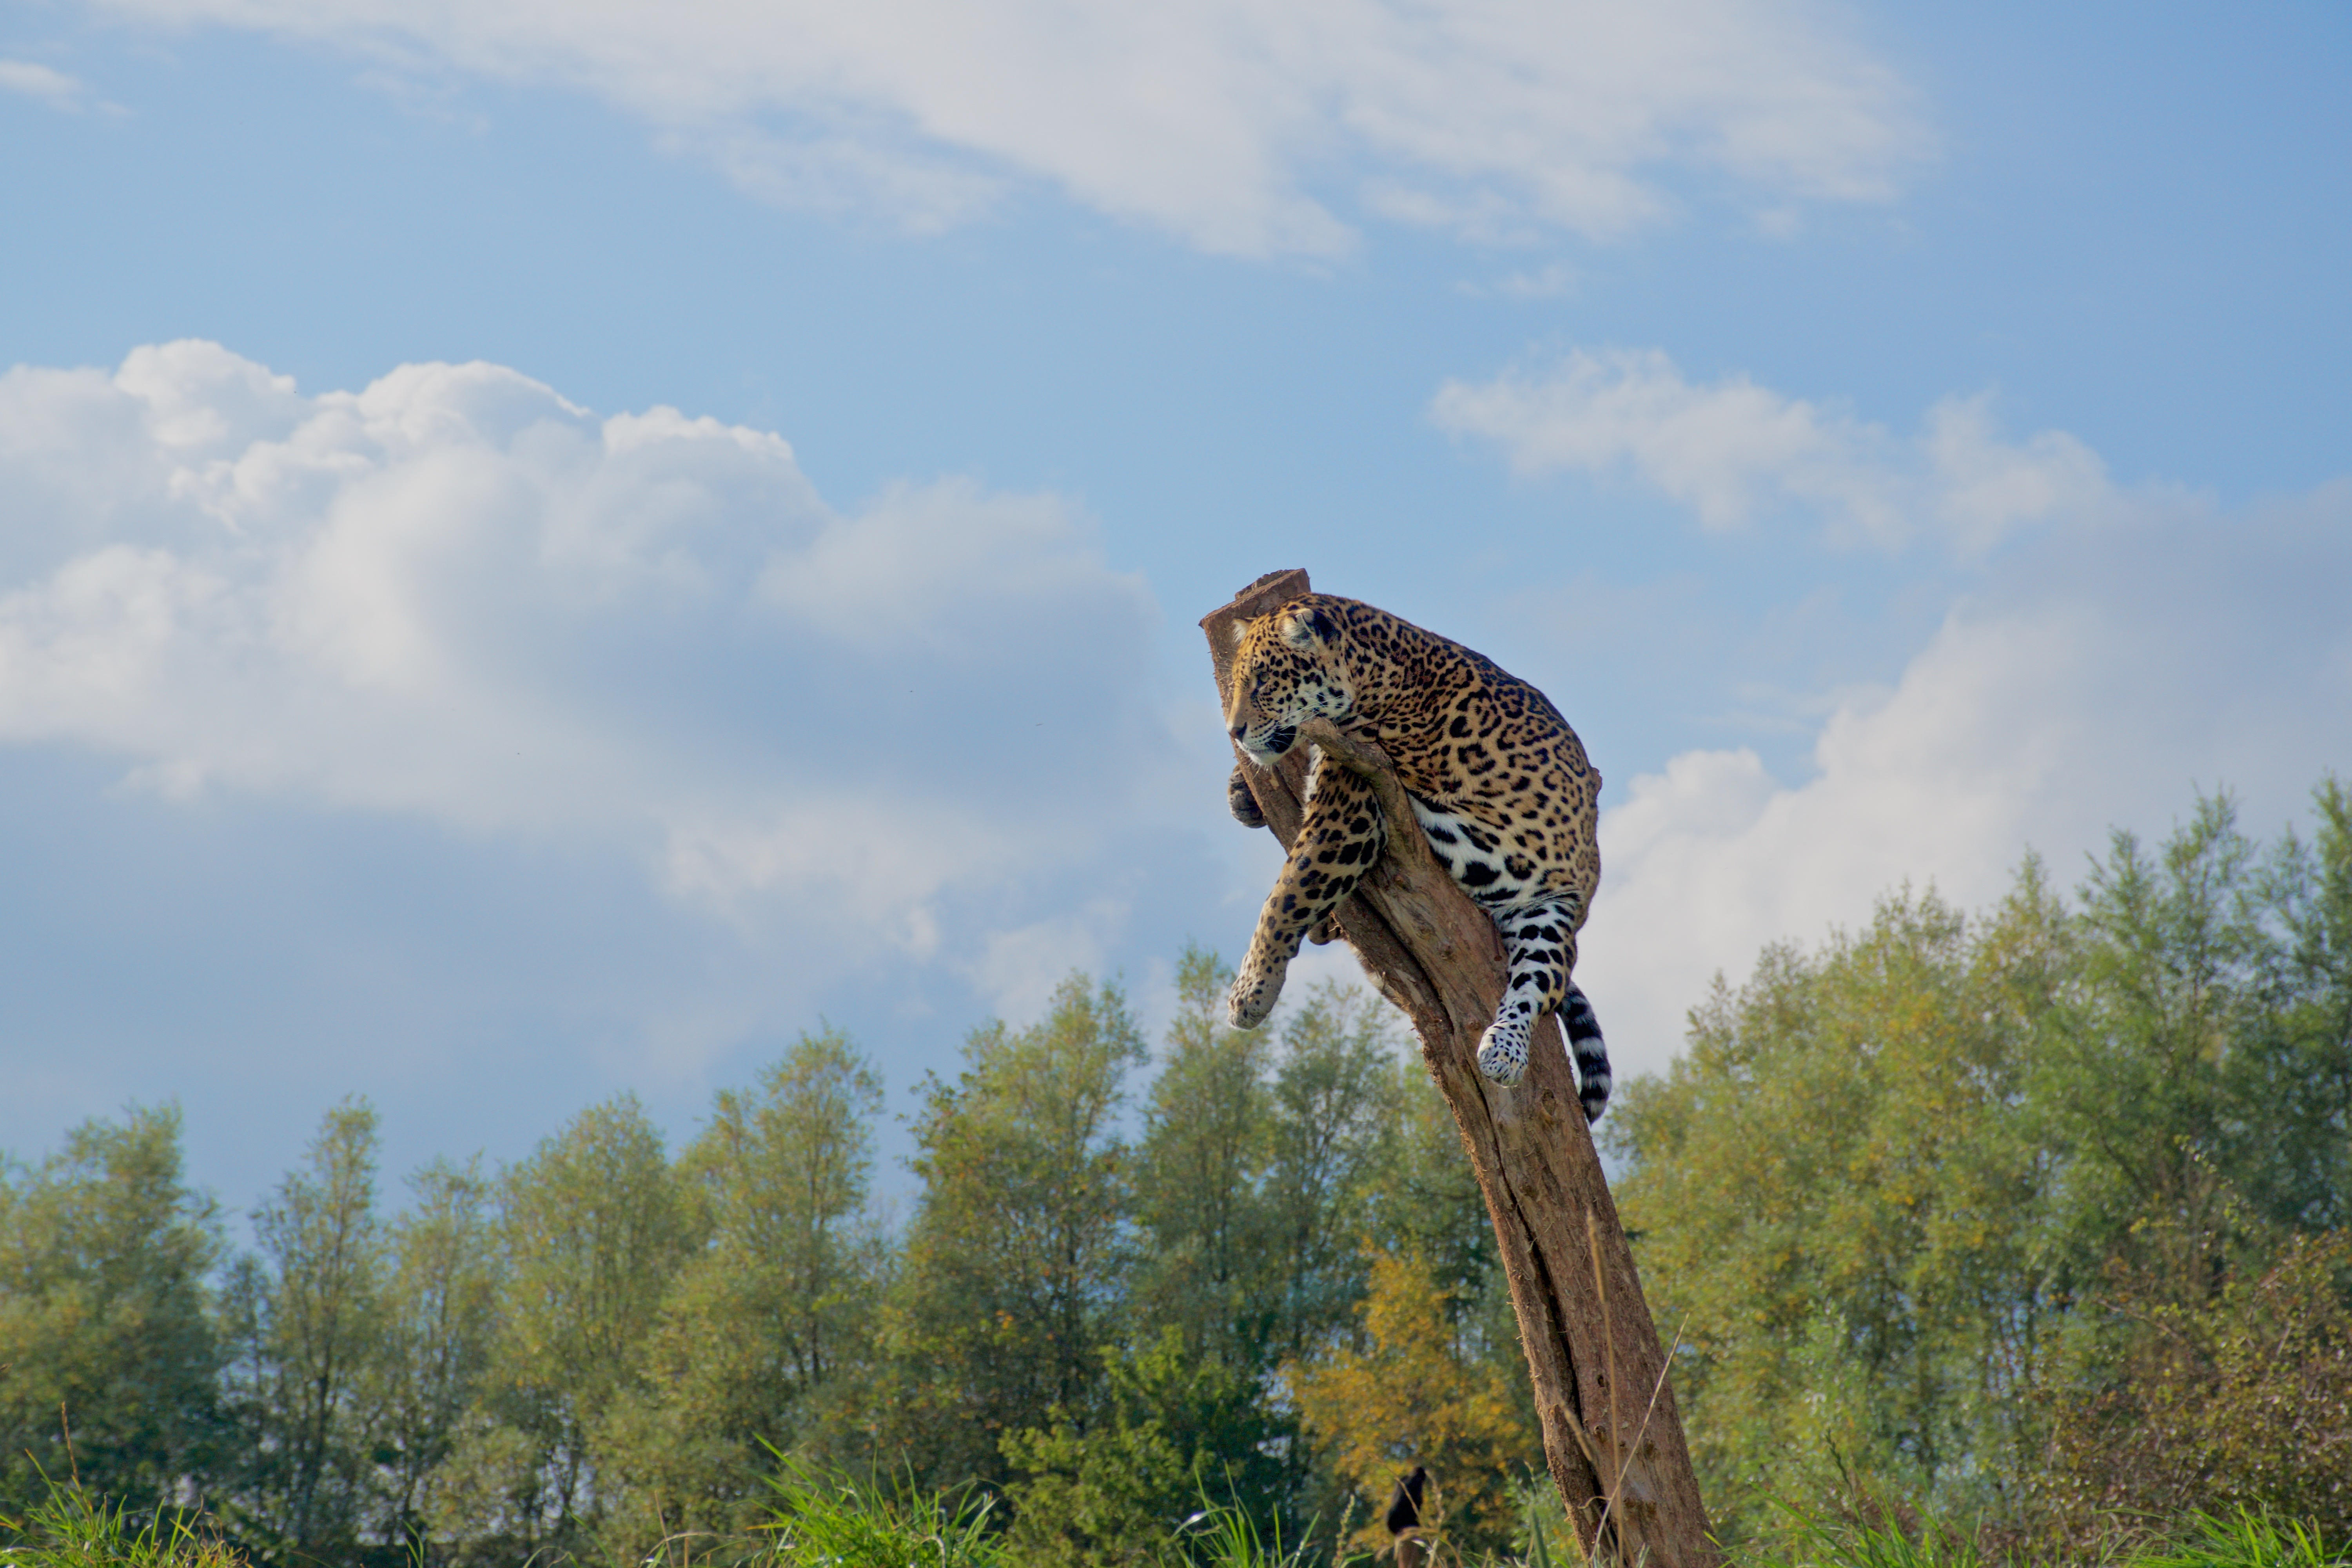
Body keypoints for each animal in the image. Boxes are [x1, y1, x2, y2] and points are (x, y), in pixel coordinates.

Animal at [1221, 593, 1612, 1121]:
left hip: (1550, 912)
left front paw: (1251, 994)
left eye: (1263, 679)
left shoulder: (1346, 818)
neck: (1370, 665)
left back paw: (1504, 1051)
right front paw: (1241, 791)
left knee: (1539, 982)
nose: (1234, 731)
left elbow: (1283, 901)